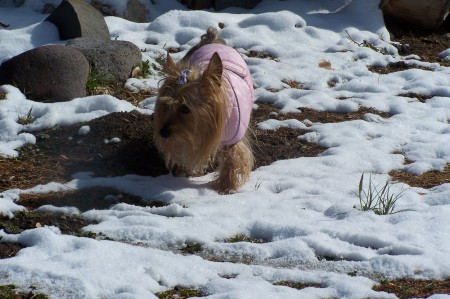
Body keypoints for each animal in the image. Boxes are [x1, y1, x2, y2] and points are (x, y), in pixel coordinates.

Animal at [154, 27, 253, 195]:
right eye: (166, 106)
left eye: (185, 108)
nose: (163, 132)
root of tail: (212, 39)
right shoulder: (188, 136)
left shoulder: (234, 136)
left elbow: (233, 157)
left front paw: (226, 186)